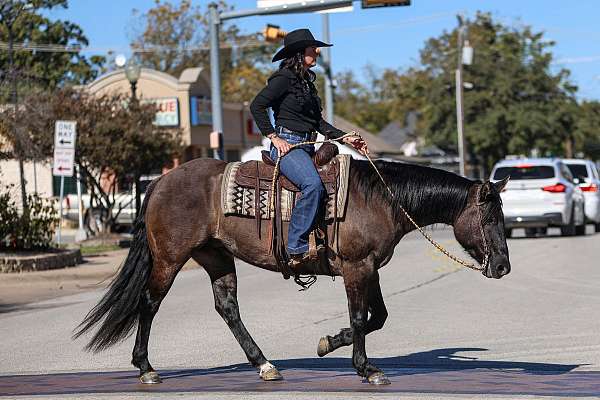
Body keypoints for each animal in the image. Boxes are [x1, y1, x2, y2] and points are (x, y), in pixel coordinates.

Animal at [75, 158, 510, 386]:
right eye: (490, 217)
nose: (504, 266)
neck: (380, 198)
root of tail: (161, 180)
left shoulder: (370, 268)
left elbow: (378, 317)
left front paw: (328, 343)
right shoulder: (357, 267)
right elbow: (360, 316)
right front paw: (365, 368)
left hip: (216, 257)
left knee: (227, 308)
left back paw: (264, 364)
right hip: (169, 258)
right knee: (149, 302)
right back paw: (147, 368)